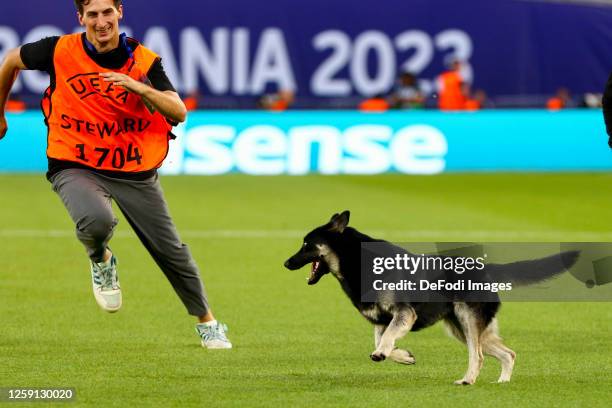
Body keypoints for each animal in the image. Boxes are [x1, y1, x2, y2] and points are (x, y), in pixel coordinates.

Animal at [284, 212, 576, 384]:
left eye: (306, 244)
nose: (286, 263)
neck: (357, 261)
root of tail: (485, 267)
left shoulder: (404, 313)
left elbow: (386, 339)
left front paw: (384, 353)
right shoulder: (381, 320)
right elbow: (384, 339)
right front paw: (401, 356)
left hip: (467, 321)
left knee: (479, 356)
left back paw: (468, 380)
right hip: (461, 328)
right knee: (508, 353)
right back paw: (502, 383)